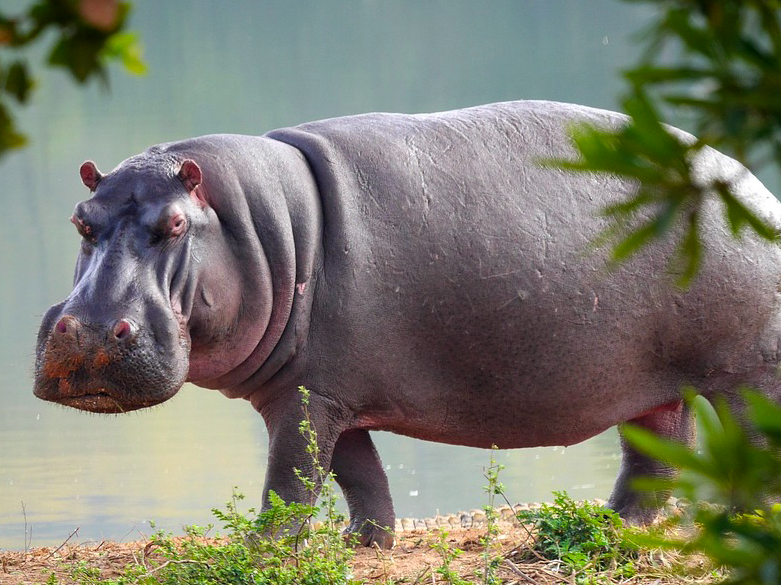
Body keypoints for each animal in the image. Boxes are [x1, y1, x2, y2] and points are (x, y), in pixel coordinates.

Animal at [34, 101, 781, 548]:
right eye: (79, 219)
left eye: (175, 224)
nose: (90, 332)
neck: (260, 226)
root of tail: (752, 182)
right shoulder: (324, 391)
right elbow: (358, 474)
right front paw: (365, 544)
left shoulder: (304, 397)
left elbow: (291, 478)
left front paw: (261, 550)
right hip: (652, 385)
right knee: (655, 455)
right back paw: (609, 527)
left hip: (745, 373)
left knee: (748, 446)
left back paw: (739, 524)